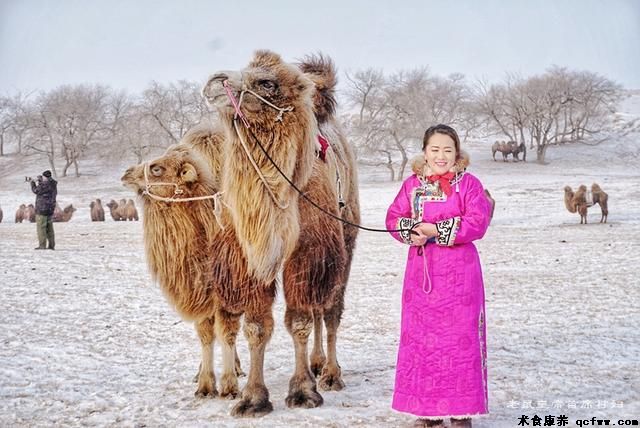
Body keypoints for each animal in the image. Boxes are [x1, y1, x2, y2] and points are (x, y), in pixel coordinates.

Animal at [122, 141, 278, 418]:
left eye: (157, 168)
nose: (126, 173)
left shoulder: (231, 297)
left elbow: (226, 334)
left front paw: (228, 386)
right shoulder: (206, 296)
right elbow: (206, 334)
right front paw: (205, 386)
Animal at [202, 50, 358, 408]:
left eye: (267, 83)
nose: (215, 81)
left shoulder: (309, 252)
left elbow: (299, 321)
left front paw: (302, 391)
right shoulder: (248, 259)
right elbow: (257, 326)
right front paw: (252, 398)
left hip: (346, 239)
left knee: (330, 310)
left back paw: (331, 374)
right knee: (319, 310)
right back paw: (317, 364)